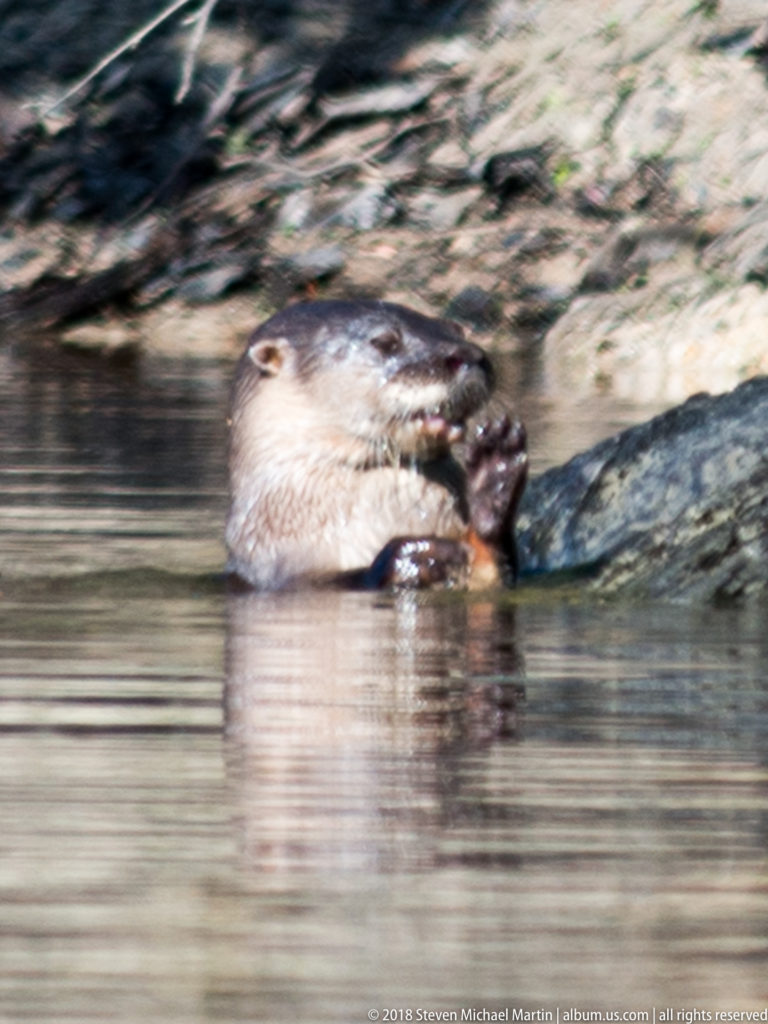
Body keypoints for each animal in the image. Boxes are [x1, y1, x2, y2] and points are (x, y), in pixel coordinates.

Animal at [225, 299, 527, 590]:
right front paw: (415, 556)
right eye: (384, 342)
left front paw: (494, 477)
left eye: (457, 331)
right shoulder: (281, 574)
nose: (469, 356)